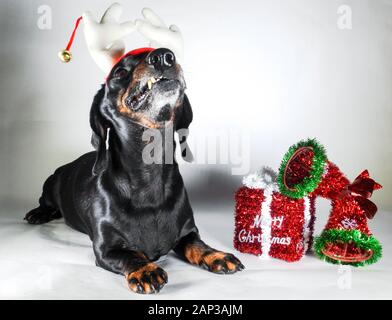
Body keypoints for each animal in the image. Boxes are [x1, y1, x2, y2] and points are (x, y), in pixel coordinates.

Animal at [24, 48, 243, 296]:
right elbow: (130, 255)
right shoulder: (106, 249)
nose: (164, 56)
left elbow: (196, 244)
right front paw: (145, 269)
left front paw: (216, 255)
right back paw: (39, 213)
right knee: (45, 202)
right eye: (119, 72)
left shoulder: (187, 232)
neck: (149, 177)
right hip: (49, 184)